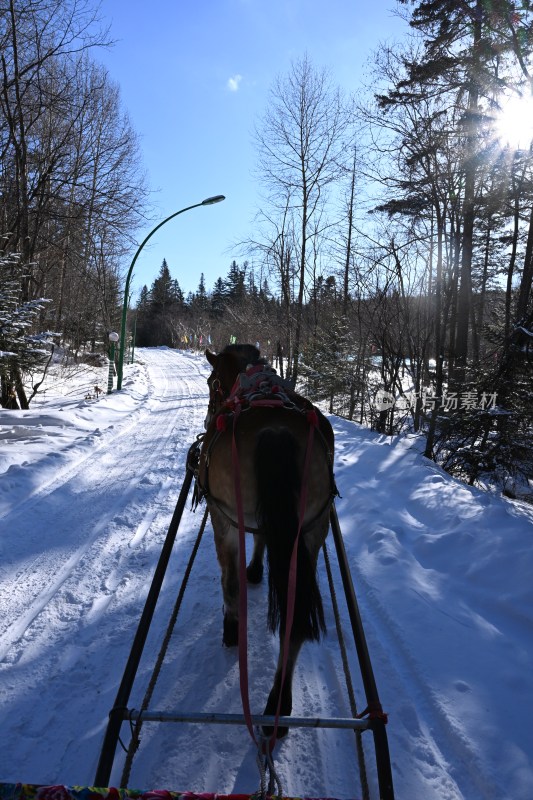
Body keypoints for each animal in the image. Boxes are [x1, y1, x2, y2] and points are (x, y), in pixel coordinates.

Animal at [195, 342, 336, 736]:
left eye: (211, 383)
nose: (209, 418)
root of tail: (275, 429)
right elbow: (261, 541)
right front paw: (257, 569)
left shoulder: (224, 517)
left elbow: (230, 582)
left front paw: (231, 626)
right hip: (311, 530)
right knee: (294, 620)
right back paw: (278, 704)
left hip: (227, 516)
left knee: (232, 584)